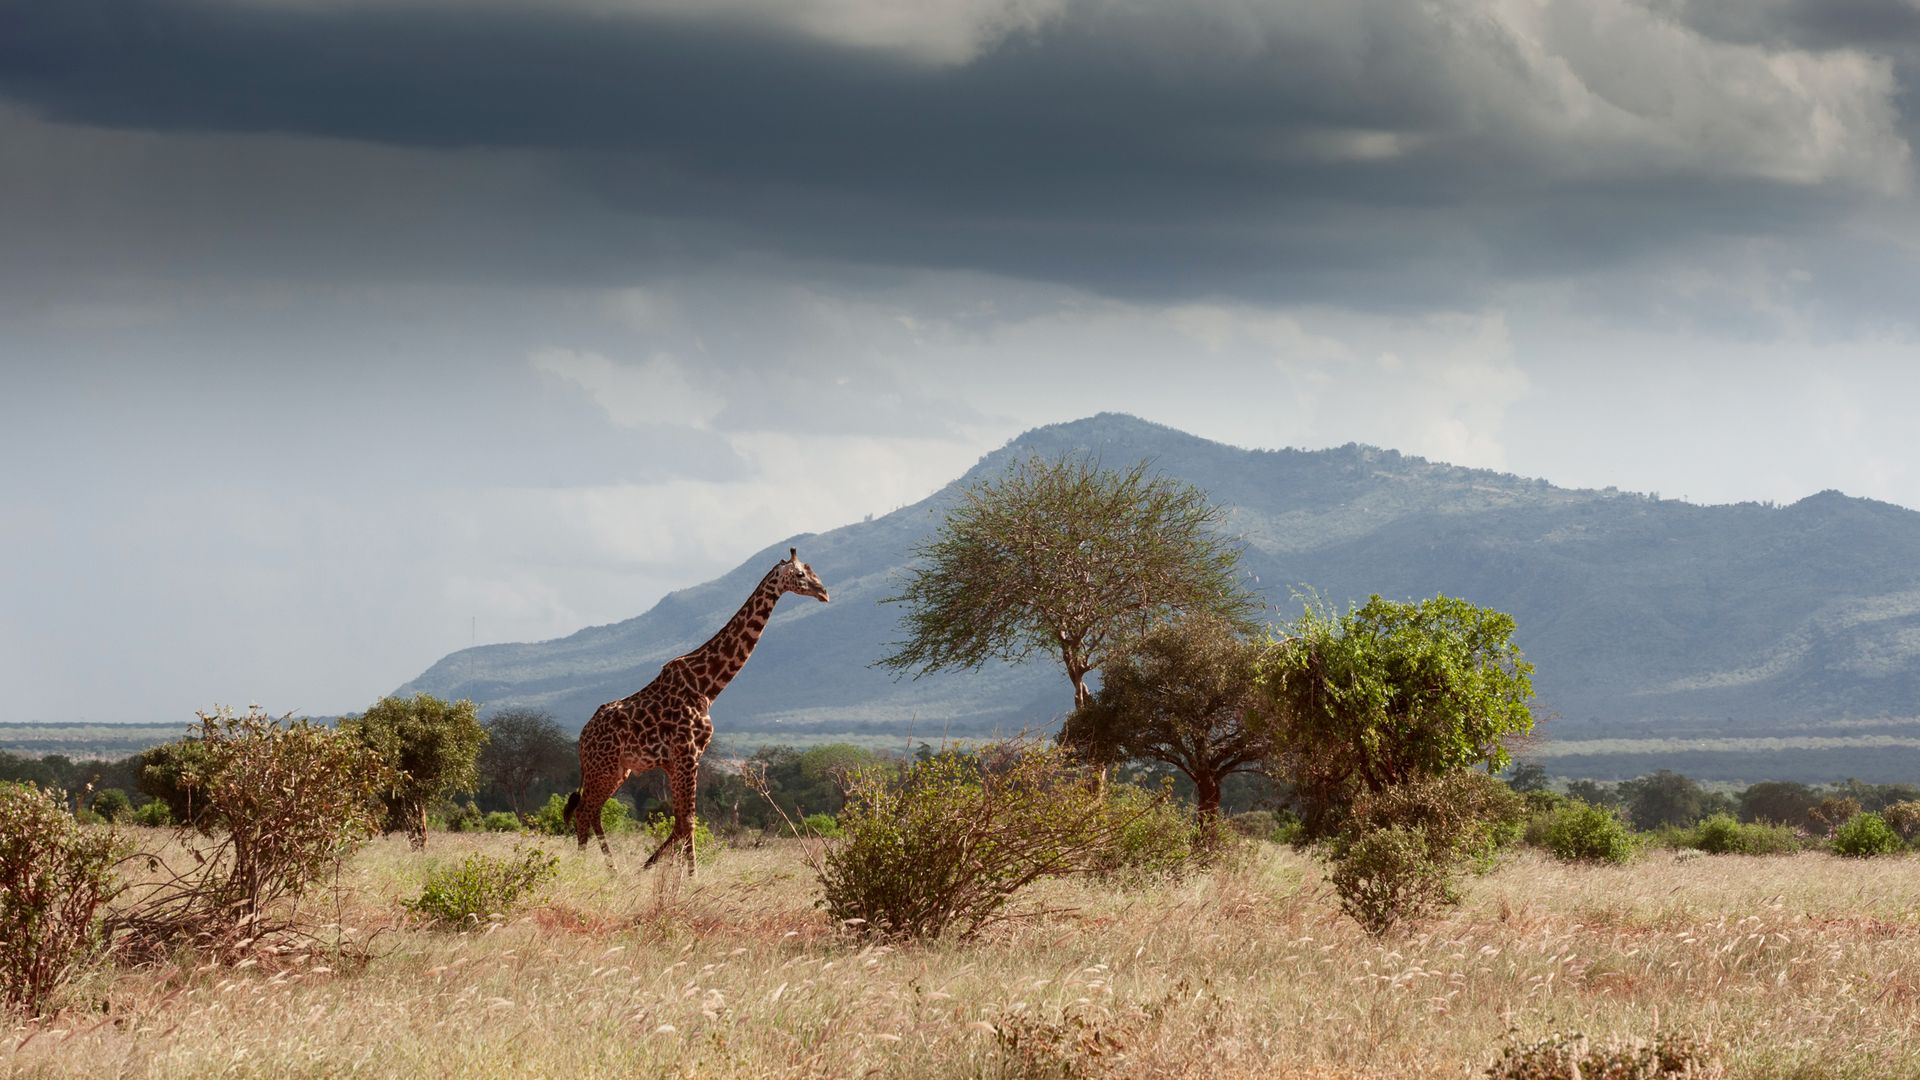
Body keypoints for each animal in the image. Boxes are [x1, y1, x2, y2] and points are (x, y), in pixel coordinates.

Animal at [563, 548, 830, 870]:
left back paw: (612, 870)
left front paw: (651, 867)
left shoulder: (681, 759)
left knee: (593, 811)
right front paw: (689, 875)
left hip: (617, 770)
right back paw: (589, 867)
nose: (823, 592)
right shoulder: (688, 753)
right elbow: (688, 821)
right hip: (603, 766)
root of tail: (582, 737)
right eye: (801, 573)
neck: (706, 686)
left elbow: (681, 821)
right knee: (584, 810)